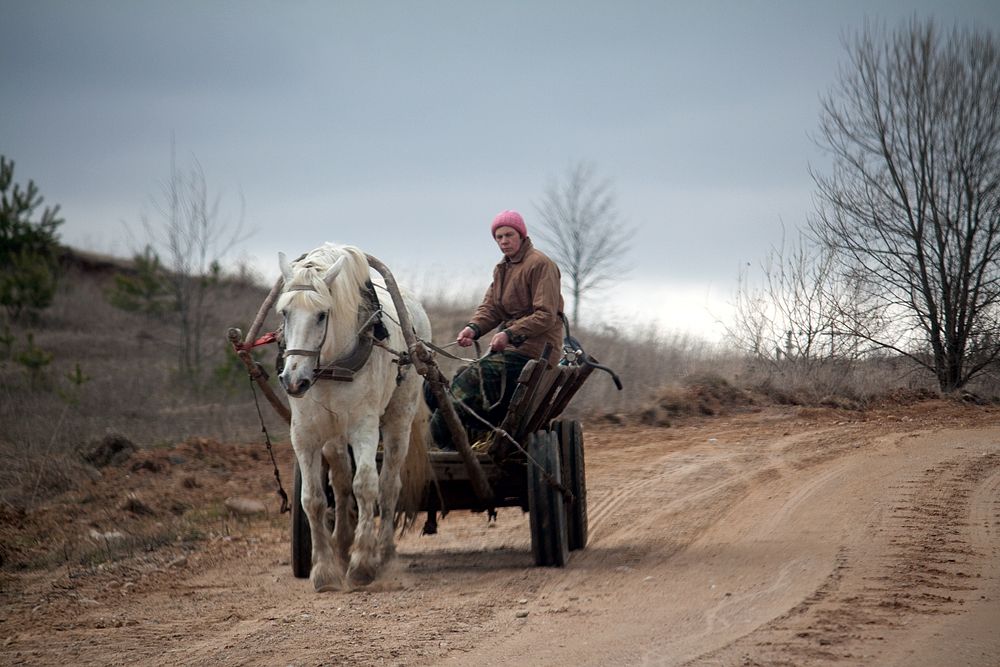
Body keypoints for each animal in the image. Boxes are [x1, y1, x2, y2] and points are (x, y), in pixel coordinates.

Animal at [278, 244, 430, 588]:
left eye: (322, 314)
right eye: (284, 313)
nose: (293, 380)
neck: (332, 366)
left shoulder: (364, 427)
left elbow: (366, 485)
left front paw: (363, 562)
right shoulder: (304, 433)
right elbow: (313, 498)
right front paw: (323, 569)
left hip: (399, 418)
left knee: (388, 486)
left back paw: (382, 550)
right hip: (334, 433)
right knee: (340, 479)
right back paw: (342, 542)